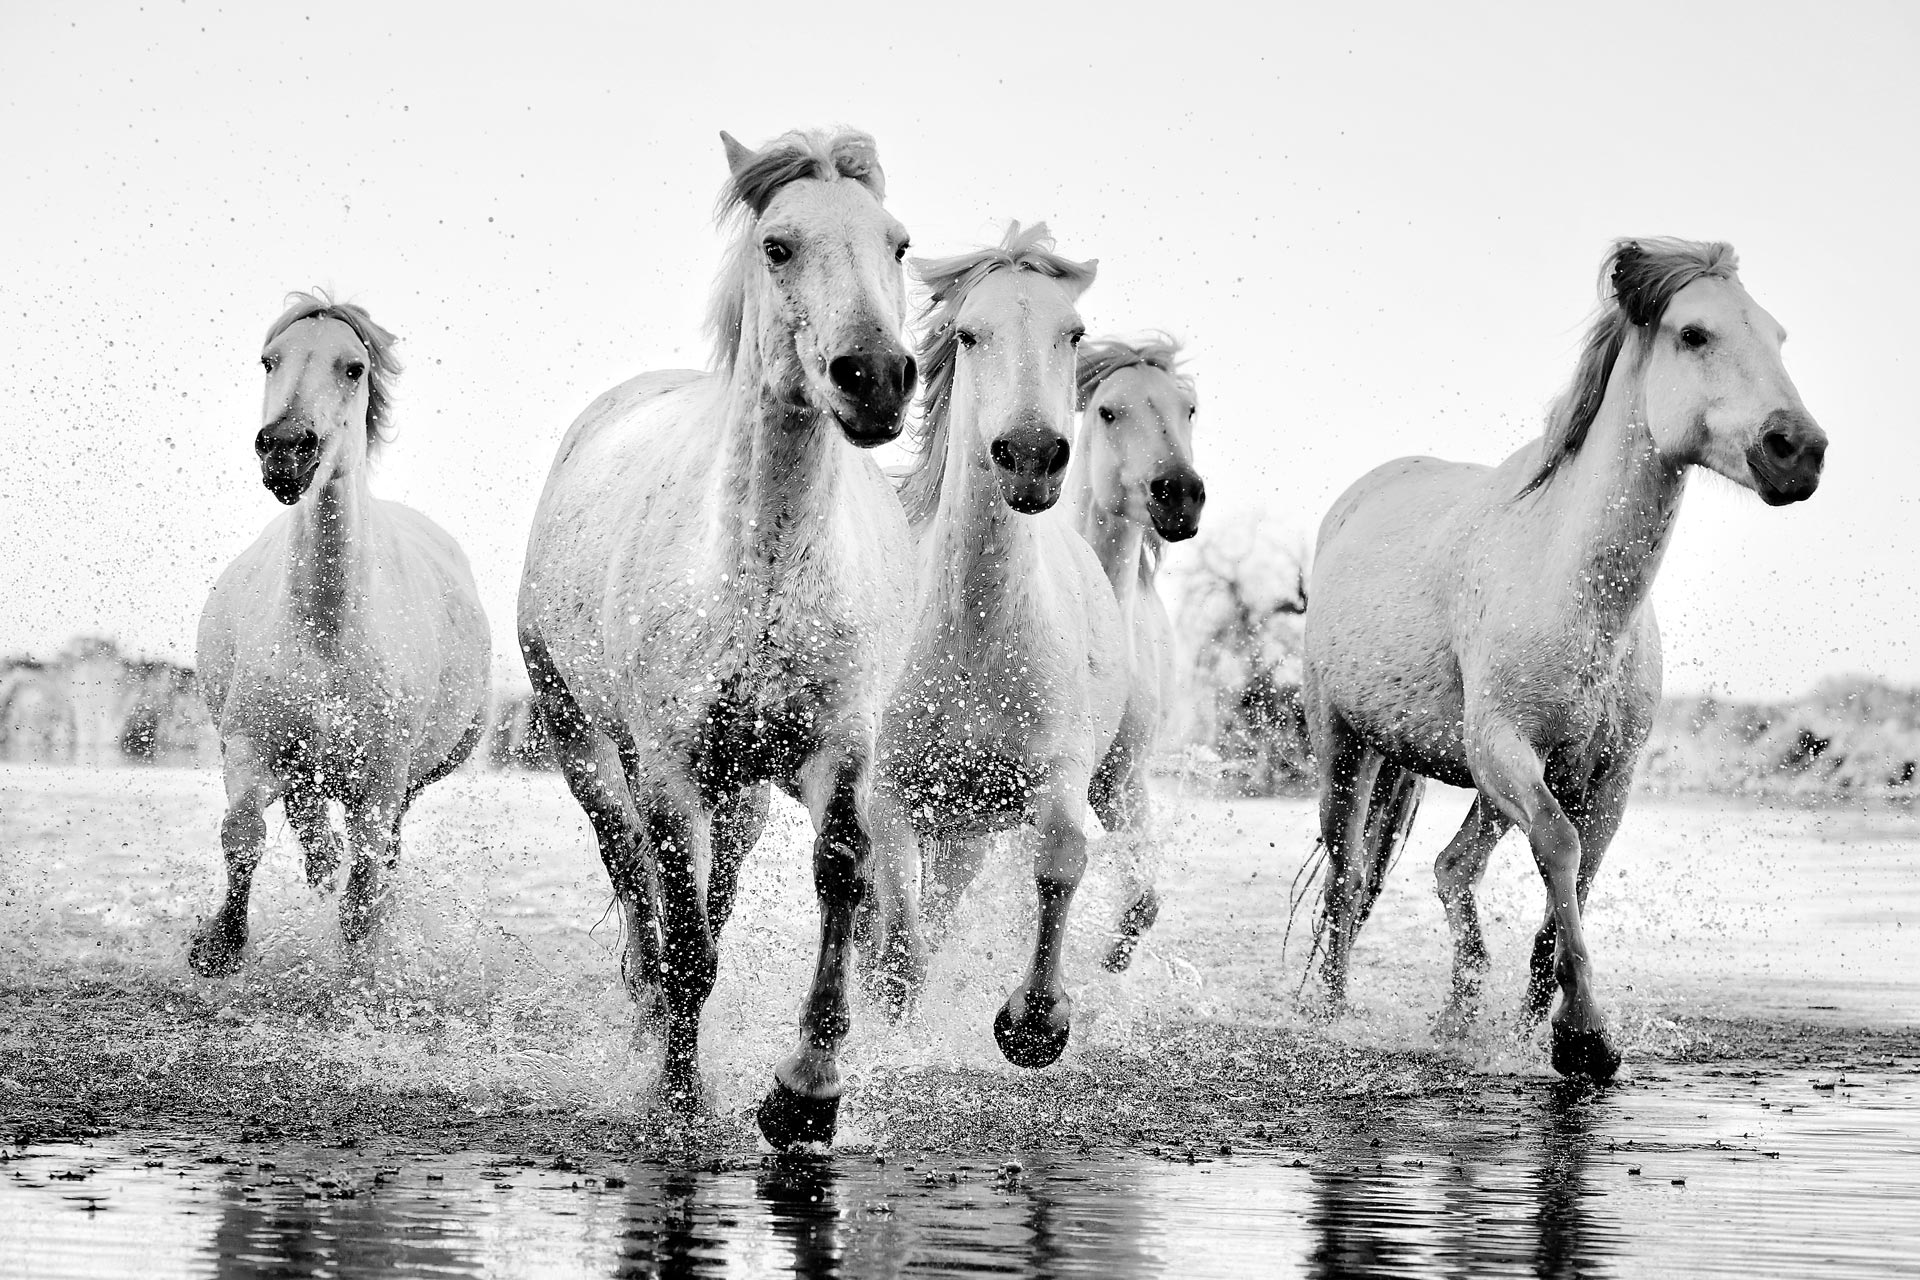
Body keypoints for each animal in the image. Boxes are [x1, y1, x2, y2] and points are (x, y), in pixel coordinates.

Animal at [192, 295, 491, 974]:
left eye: (353, 367)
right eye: (269, 360)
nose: (285, 450)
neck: (326, 630)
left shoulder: (381, 781)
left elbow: (365, 891)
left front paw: (357, 973)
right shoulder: (250, 747)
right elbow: (242, 833)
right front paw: (219, 945)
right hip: (306, 768)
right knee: (312, 830)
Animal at [518, 130, 913, 1151]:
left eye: (897, 243)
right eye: (777, 246)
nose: (876, 376)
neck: (763, 575)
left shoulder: (836, 752)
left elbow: (840, 880)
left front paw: (805, 1094)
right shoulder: (663, 767)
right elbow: (686, 937)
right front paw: (678, 1101)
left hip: (740, 796)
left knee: (713, 893)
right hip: (584, 742)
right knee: (636, 876)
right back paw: (648, 1013)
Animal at [867, 222, 1128, 1074]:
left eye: (1071, 333)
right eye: (969, 335)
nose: (1033, 453)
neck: (976, 638)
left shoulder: (1058, 774)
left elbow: (1061, 858)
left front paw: (1036, 1022)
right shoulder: (887, 794)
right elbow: (899, 943)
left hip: (969, 832)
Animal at [1305, 235, 1827, 1074]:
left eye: (1777, 336)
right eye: (1694, 333)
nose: (1799, 450)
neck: (1578, 596)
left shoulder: (1606, 778)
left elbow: (1571, 893)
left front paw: (1539, 1032)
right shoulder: (1505, 751)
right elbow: (1559, 848)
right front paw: (1584, 1038)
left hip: (1476, 785)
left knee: (1451, 869)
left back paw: (1458, 1022)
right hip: (1346, 747)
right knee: (1348, 884)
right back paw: (1330, 1015)